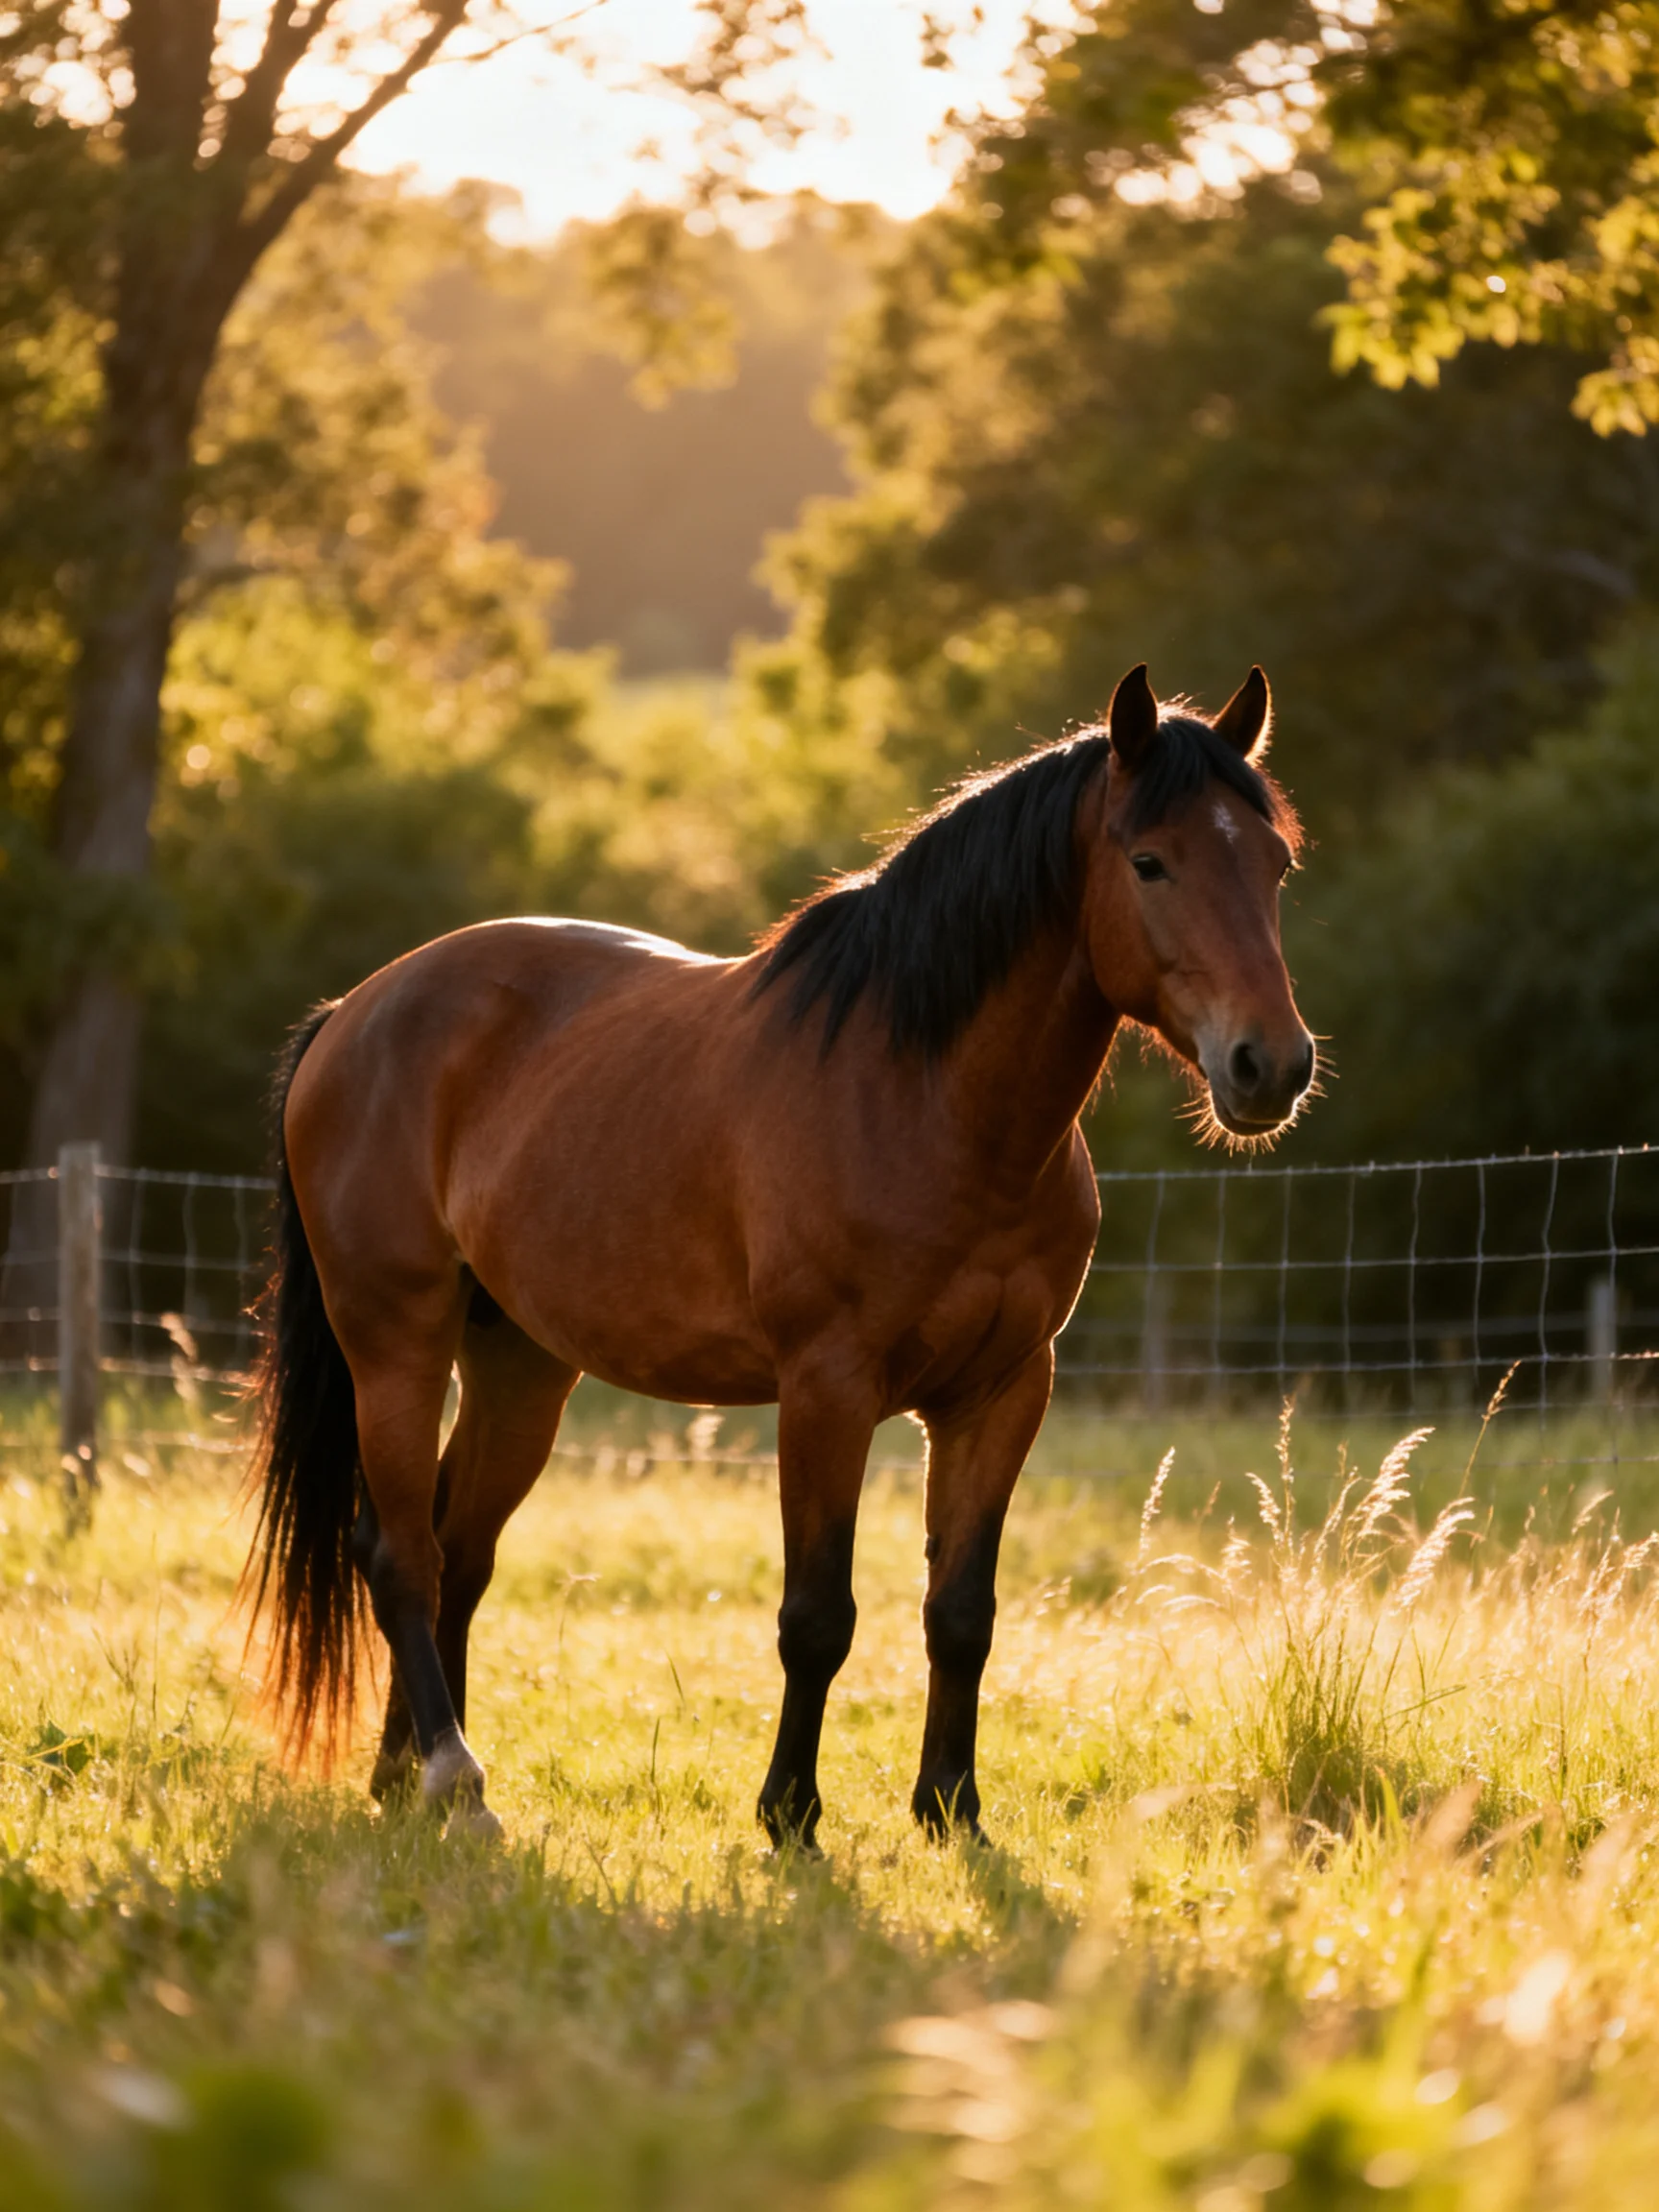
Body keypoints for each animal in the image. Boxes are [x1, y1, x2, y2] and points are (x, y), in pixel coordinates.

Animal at [249, 662, 1315, 1844]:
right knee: (400, 1553)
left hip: (520, 1364)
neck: (928, 1101)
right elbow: (817, 1616)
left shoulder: (1002, 1394)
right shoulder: (826, 1390)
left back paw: (404, 1775)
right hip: (395, 1342)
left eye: (1274, 863)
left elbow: (962, 1612)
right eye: (1150, 861)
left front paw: (951, 1810)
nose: (1271, 1065)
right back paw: (454, 1779)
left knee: (454, 1553)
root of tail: (353, 1013)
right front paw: (790, 1813)